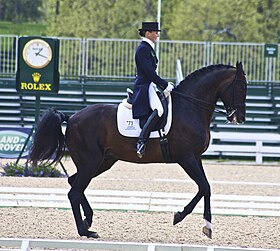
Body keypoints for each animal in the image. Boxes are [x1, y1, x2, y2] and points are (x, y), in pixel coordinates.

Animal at [29, 61, 247, 239]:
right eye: (240, 86)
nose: (240, 118)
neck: (190, 106)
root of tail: (72, 117)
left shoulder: (195, 157)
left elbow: (206, 187)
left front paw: (206, 225)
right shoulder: (186, 157)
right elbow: (204, 186)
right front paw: (181, 217)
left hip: (102, 162)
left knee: (74, 183)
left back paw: (88, 220)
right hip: (91, 162)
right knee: (74, 192)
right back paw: (86, 231)